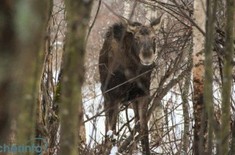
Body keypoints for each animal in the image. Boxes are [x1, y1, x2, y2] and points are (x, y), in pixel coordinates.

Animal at [98, 14, 162, 154]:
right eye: (136, 38)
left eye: (154, 38)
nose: (147, 56)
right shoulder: (113, 97)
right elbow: (112, 134)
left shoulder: (142, 95)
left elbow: (144, 132)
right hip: (107, 97)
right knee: (108, 129)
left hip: (131, 100)